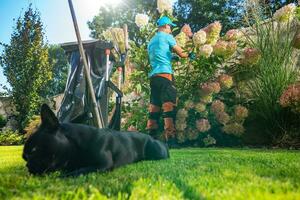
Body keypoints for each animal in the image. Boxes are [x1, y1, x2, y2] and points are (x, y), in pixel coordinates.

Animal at [22, 104, 169, 176]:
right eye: (24, 157)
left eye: (34, 150)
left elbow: (78, 172)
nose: (27, 165)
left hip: (157, 152)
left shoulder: (102, 165)